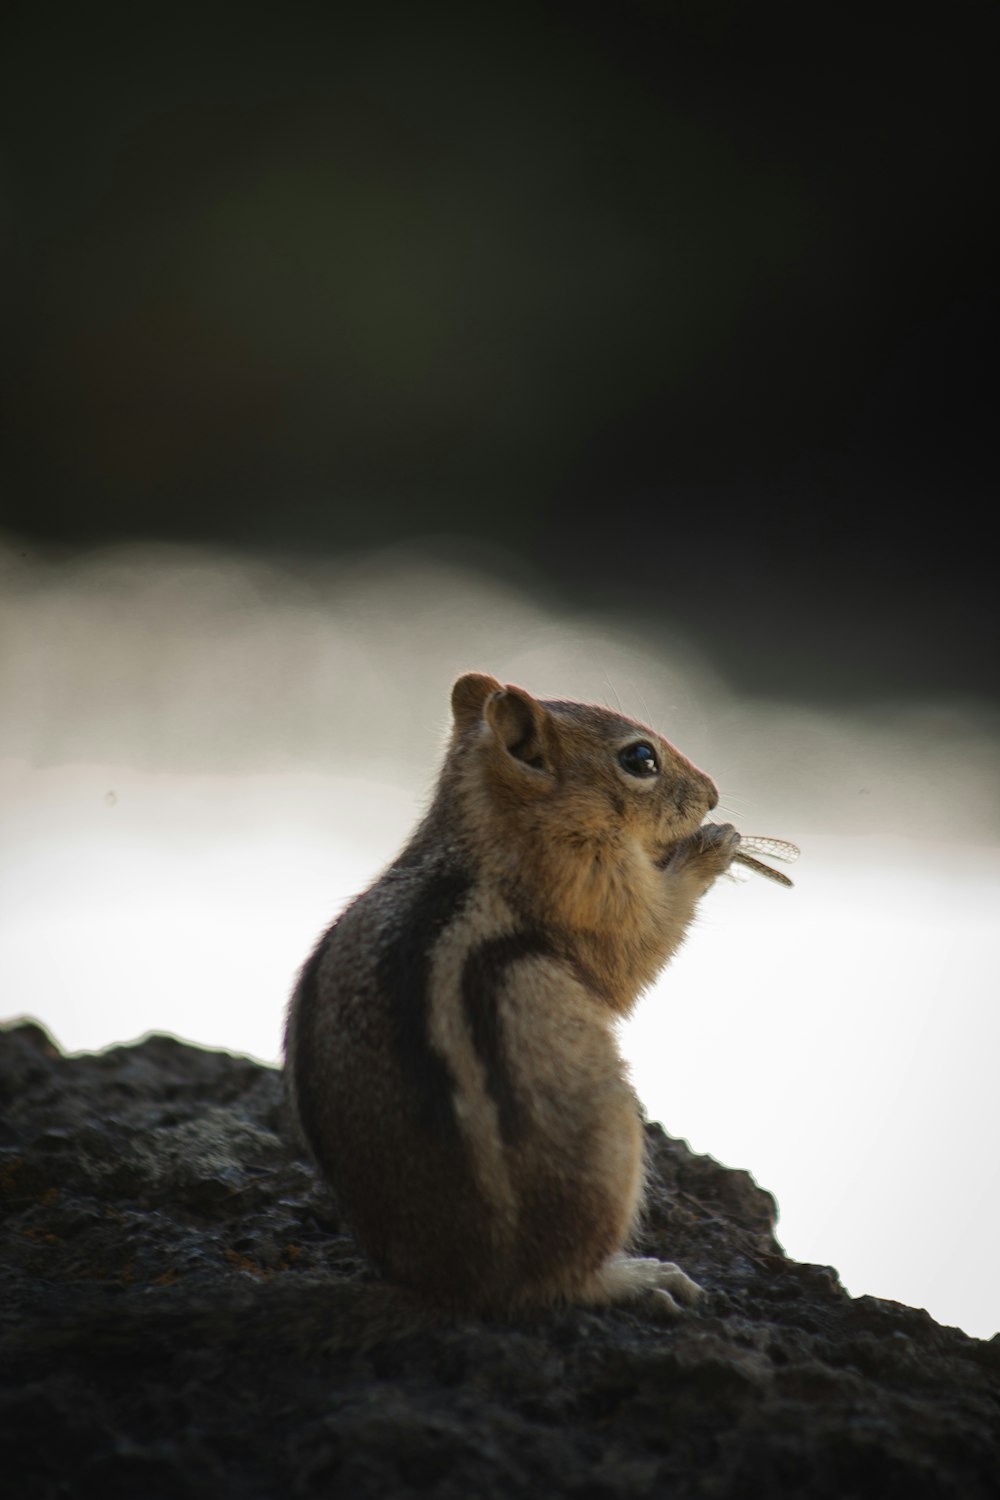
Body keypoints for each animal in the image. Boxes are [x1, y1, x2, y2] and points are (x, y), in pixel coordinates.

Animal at [284, 675, 740, 1320]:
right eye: (641, 759)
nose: (714, 796)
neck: (484, 828)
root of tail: (466, 1283)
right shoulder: (592, 888)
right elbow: (639, 946)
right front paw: (711, 849)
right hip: (611, 1146)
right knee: (561, 1282)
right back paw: (639, 1278)